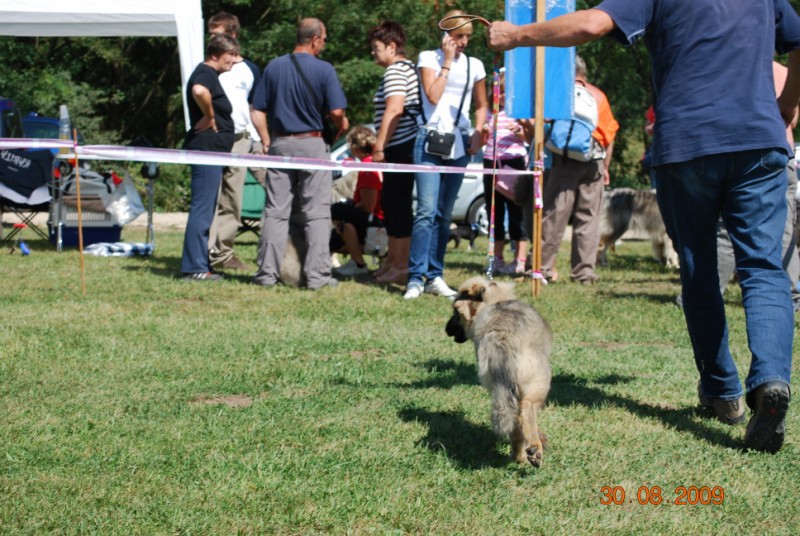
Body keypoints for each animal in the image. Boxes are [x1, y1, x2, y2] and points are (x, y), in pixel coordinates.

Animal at [444, 278, 552, 466]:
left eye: (456, 314)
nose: (446, 329)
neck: (494, 301)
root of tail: (502, 339)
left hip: (500, 391)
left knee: (515, 425)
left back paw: (520, 455)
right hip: (539, 383)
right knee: (526, 409)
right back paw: (531, 450)